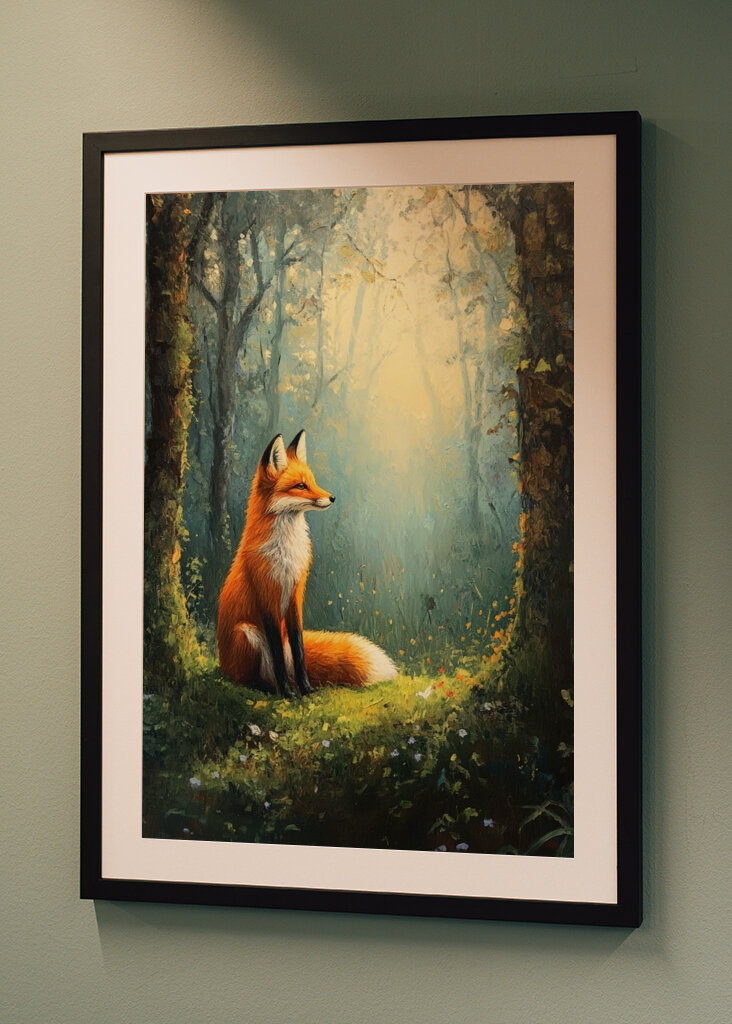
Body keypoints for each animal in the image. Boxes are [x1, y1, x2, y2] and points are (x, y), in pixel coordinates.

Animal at [217, 430, 397, 697]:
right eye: (300, 485)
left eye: (312, 481)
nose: (332, 497)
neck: (287, 553)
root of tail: (222, 662)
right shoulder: (268, 596)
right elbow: (278, 656)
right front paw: (288, 693)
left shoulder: (295, 594)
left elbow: (300, 650)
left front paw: (306, 688)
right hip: (246, 634)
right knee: (244, 677)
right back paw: (270, 687)